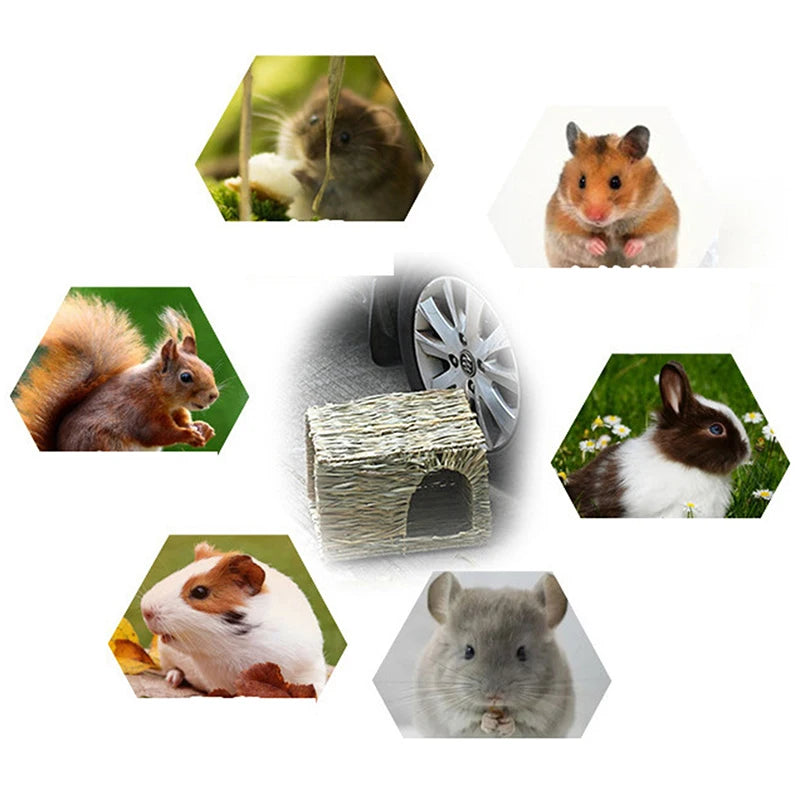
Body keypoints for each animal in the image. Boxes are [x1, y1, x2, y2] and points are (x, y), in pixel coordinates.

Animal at [413, 572, 575, 737]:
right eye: (468, 651)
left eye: (522, 653)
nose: (494, 696)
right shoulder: (445, 707)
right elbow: (469, 718)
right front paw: (488, 721)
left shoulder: (547, 708)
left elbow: (523, 721)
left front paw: (507, 724)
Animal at [545, 122, 679, 267]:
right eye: (581, 181)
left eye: (616, 182)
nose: (594, 217)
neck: (612, 225)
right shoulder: (561, 224)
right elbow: (579, 238)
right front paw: (600, 248)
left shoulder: (663, 219)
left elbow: (647, 238)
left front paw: (628, 250)